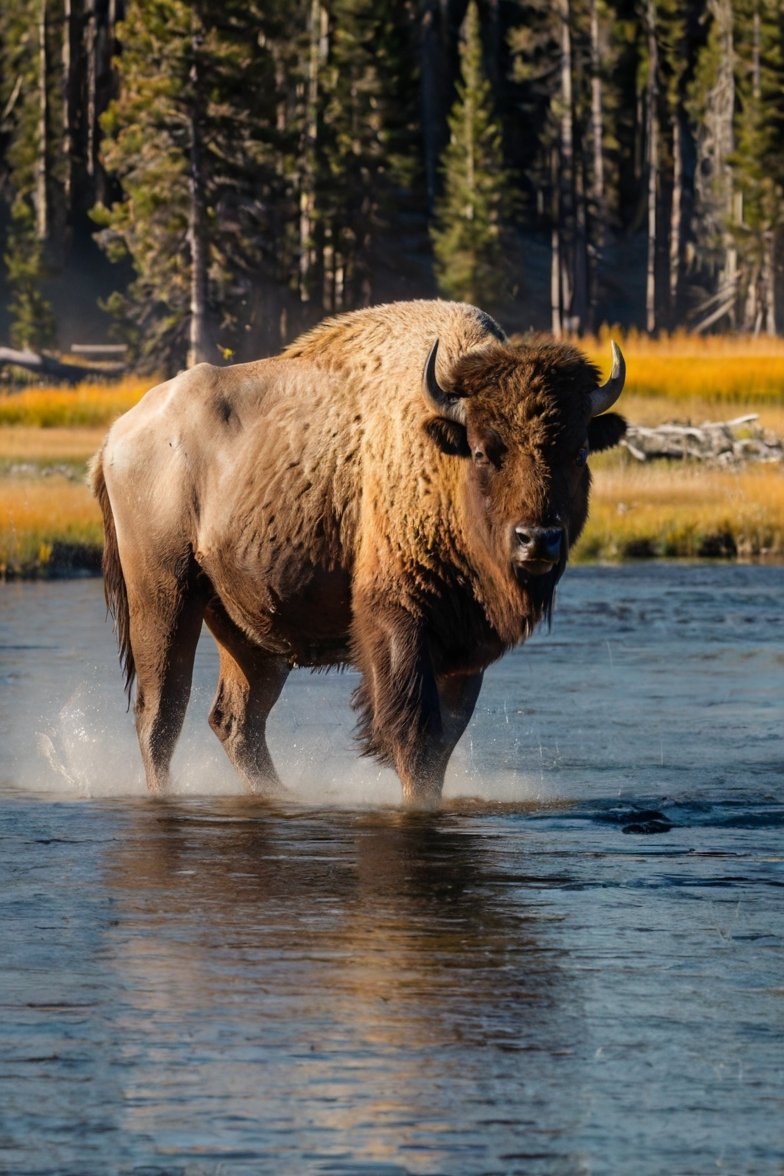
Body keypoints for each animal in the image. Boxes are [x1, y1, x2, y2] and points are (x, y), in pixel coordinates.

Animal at [91, 300, 626, 807]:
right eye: (482, 451)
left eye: (579, 452)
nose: (538, 538)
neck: (440, 455)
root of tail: (118, 434)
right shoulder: (398, 619)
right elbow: (414, 734)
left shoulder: (464, 647)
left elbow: (445, 739)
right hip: (164, 595)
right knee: (160, 712)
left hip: (247, 628)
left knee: (236, 720)